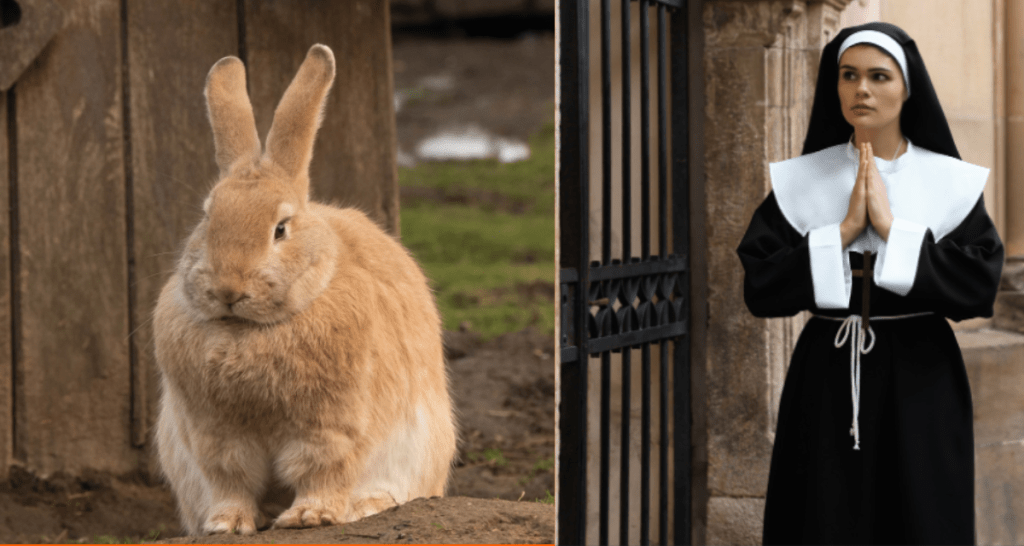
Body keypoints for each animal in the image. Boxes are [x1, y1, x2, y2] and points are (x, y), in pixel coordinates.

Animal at [152, 44, 457, 536]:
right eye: (207, 216)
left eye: (280, 228)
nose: (228, 288)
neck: (250, 330)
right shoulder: (215, 436)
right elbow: (231, 481)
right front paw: (227, 524)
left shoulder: (331, 428)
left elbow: (322, 471)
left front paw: (309, 517)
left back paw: (366, 505)